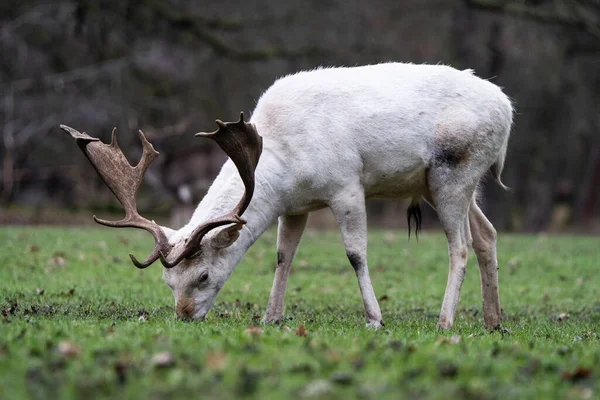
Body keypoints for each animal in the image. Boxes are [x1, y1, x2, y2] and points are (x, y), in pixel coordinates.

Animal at [59, 62, 510, 330]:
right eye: (168, 281)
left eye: (202, 275)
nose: (184, 315)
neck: (285, 165)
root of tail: (508, 110)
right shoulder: (296, 206)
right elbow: (283, 256)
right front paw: (271, 317)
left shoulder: (346, 184)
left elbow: (355, 254)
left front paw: (374, 319)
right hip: (443, 184)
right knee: (487, 234)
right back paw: (492, 320)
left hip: (455, 172)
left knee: (460, 246)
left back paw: (445, 322)